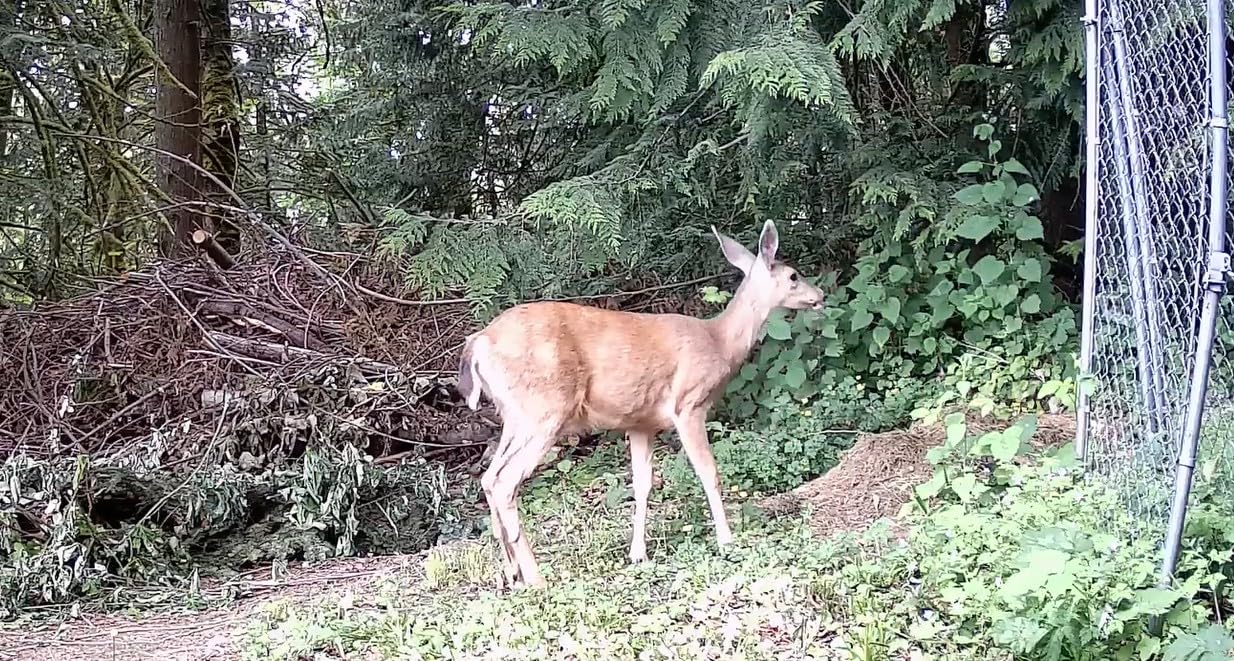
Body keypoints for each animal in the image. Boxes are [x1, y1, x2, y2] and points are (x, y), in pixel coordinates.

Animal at [456, 219, 827, 588]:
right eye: (793, 276)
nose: (821, 297)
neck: (719, 342)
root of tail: (479, 343)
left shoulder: (640, 423)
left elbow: (642, 484)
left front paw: (637, 553)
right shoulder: (688, 404)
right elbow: (708, 471)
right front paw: (726, 539)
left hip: (515, 415)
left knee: (489, 478)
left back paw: (512, 572)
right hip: (544, 408)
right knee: (504, 482)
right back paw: (536, 577)